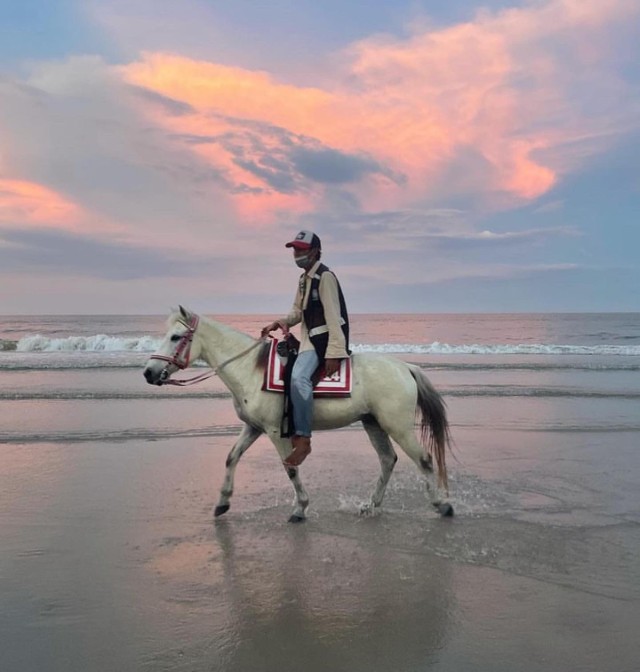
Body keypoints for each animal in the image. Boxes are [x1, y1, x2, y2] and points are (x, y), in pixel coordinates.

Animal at [143, 306, 454, 522]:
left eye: (175, 337)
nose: (148, 372)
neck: (250, 368)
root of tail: (406, 367)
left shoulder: (274, 430)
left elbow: (290, 467)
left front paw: (300, 508)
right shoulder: (253, 427)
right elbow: (231, 457)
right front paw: (222, 502)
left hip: (397, 426)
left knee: (424, 460)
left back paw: (443, 505)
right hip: (373, 423)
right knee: (388, 460)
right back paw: (371, 505)